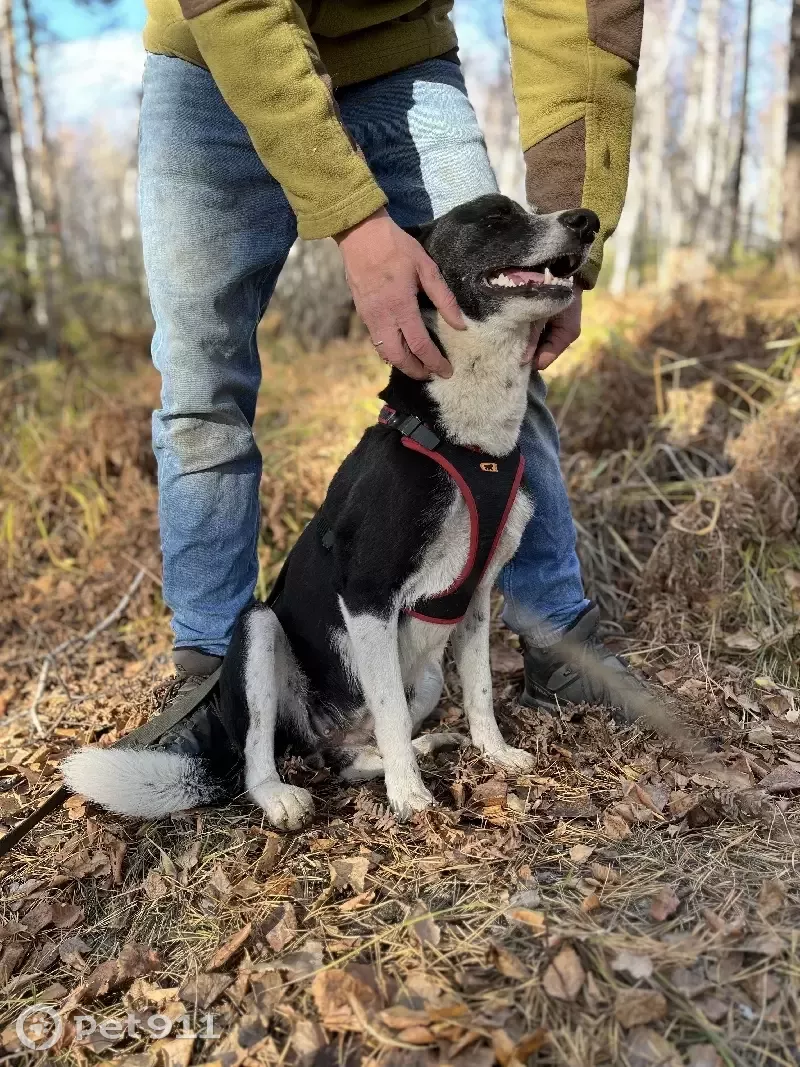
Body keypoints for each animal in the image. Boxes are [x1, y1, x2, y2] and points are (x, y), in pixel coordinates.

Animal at [64, 198, 601, 832]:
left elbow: (481, 691)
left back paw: (414, 749)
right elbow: (390, 707)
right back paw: (285, 794)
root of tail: (316, 739)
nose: (587, 220)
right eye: (494, 217)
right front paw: (410, 799)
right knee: (262, 752)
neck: (465, 443)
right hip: (258, 632)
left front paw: (493, 752)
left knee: (357, 754)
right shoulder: (368, 595)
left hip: (422, 676)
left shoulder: (473, 600)